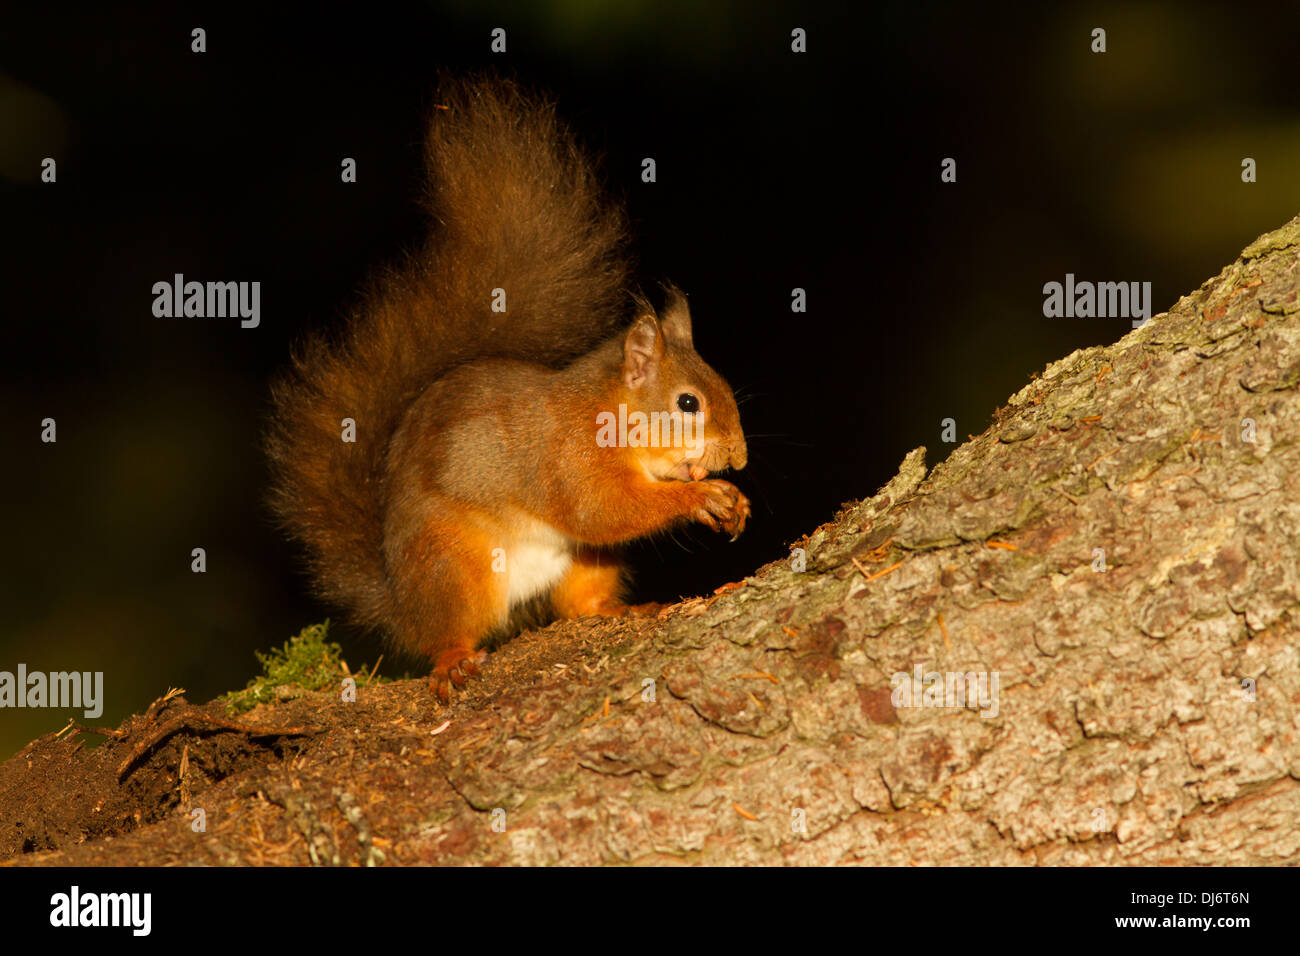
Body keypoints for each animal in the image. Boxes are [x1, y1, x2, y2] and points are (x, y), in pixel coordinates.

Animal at [263, 76, 748, 702]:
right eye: (688, 403)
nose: (739, 456)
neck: (607, 415)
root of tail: (401, 603)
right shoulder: (569, 461)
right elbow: (605, 510)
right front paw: (701, 496)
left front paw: (730, 497)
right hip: (454, 562)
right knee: (448, 631)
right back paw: (452, 658)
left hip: (584, 562)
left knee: (578, 605)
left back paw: (621, 611)